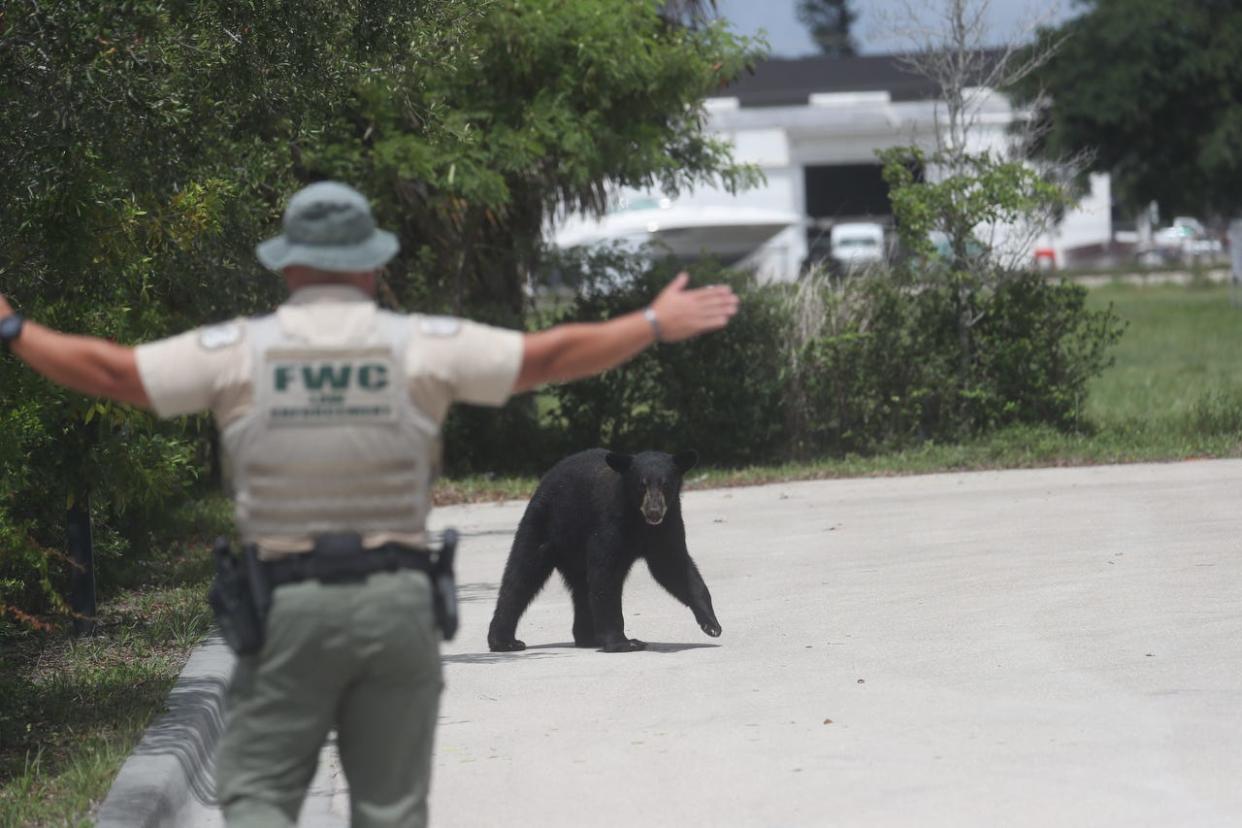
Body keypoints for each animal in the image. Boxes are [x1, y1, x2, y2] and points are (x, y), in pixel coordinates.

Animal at [484, 446, 720, 655]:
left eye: (666, 484)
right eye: (641, 485)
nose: (654, 511)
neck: (639, 521)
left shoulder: (667, 525)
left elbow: (674, 568)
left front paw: (711, 624)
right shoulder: (610, 522)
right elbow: (606, 573)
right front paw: (623, 643)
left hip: (574, 551)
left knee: (581, 588)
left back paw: (588, 637)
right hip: (544, 523)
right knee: (522, 575)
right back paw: (504, 641)